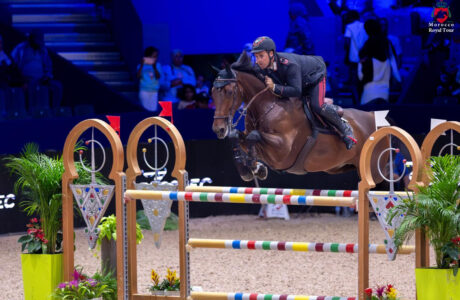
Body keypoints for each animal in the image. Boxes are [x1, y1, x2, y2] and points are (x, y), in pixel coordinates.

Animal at [212, 51, 388, 182]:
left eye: (229, 92)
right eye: (213, 93)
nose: (218, 129)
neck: (267, 106)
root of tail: (375, 119)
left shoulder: (282, 149)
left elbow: (253, 136)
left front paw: (255, 167)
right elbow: (236, 136)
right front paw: (250, 169)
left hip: (373, 172)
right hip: (339, 167)